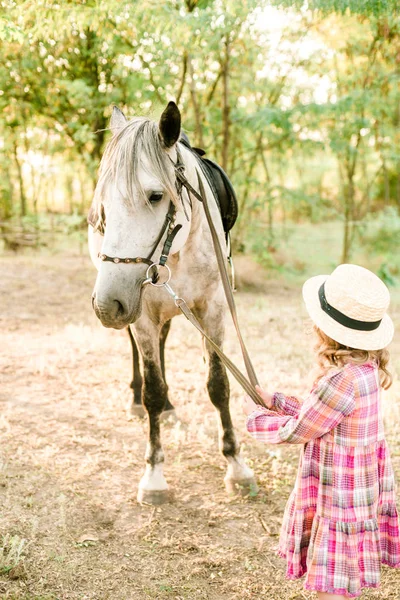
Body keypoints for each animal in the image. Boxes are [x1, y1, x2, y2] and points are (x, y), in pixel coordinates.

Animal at [87, 101, 256, 504]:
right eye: (104, 204)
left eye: (155, 195)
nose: (107, 304)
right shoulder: (141, 313)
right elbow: (153, 388)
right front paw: (154, 474)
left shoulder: (213, 309)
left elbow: (218, 385)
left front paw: (236, 465)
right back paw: (140, 401)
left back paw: (170, 408)